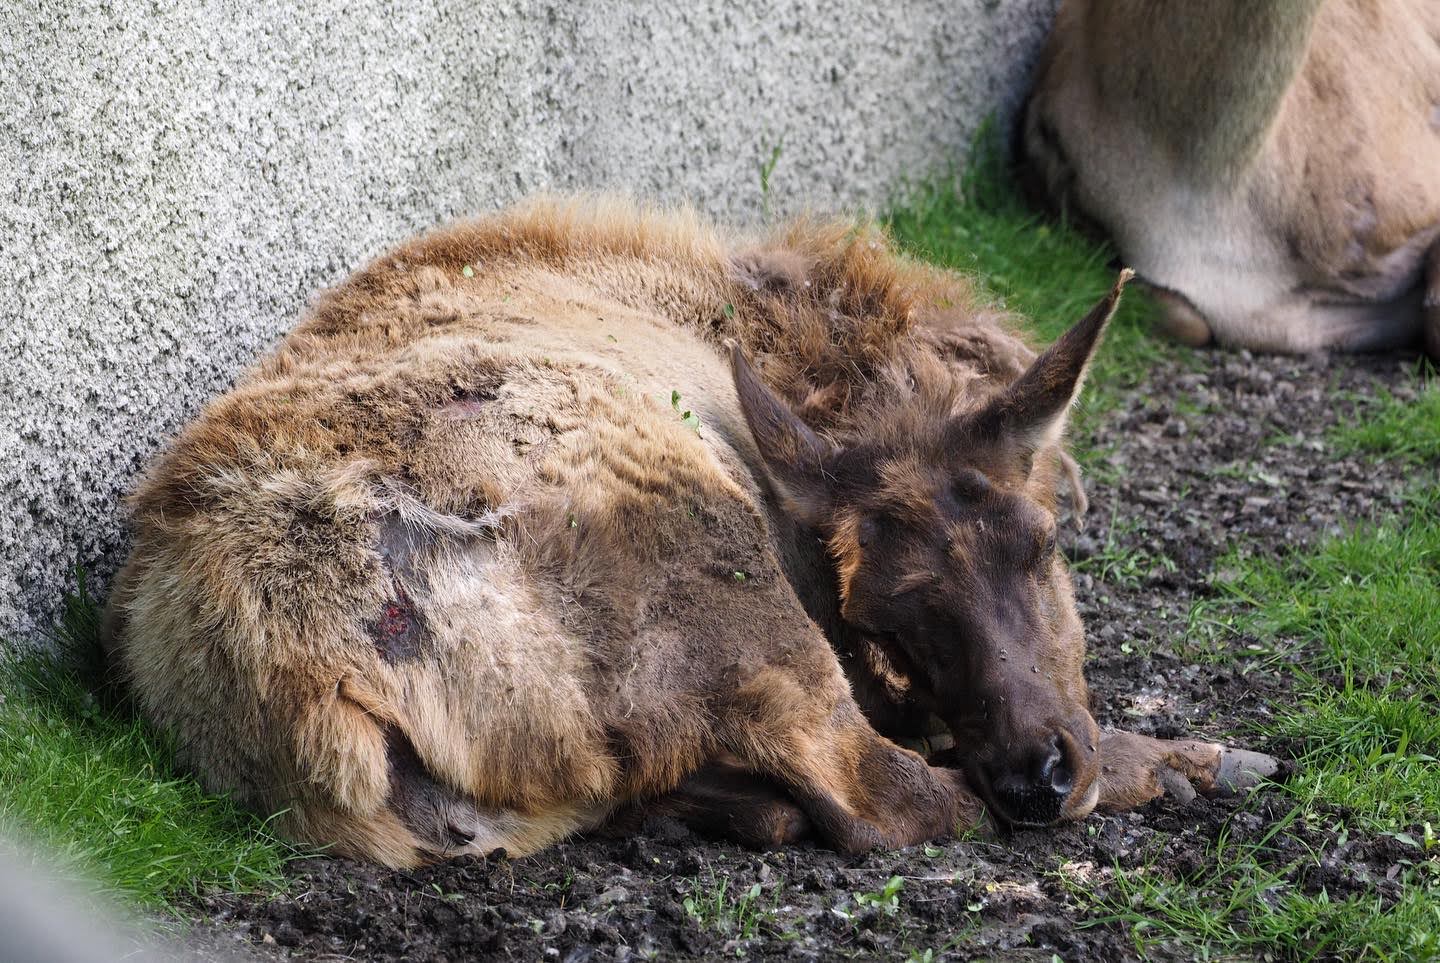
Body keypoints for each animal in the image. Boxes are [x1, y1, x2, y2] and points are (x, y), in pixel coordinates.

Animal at [103, 199, 1276, 867]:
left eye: (1038, 544)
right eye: (881, 619)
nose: (1039, 769)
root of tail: (306, 671)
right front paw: (1183, 758)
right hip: (730, 587)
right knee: (881, 794)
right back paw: (1185, 762)